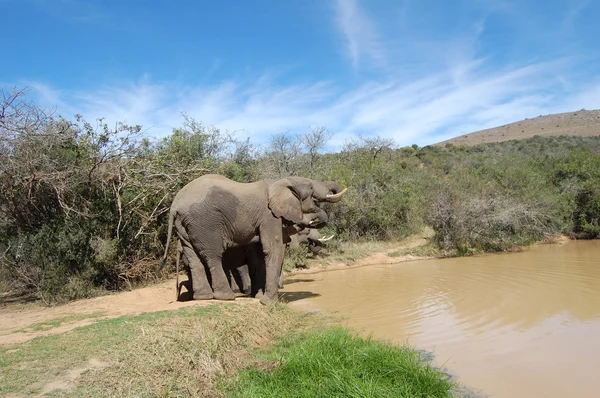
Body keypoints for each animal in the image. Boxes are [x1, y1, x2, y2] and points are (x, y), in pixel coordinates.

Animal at [162, 175, 346, 304]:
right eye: (310, 187)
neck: (280, 182)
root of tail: (174, 205)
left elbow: (260, 257)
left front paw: (259, 296)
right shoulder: (269, 216)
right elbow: (273, 249)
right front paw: (268, 302)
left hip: (185, 226)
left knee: (194, 257)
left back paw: (203, 297)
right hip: (205, 222)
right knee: (213, 255)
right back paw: (226, 297)